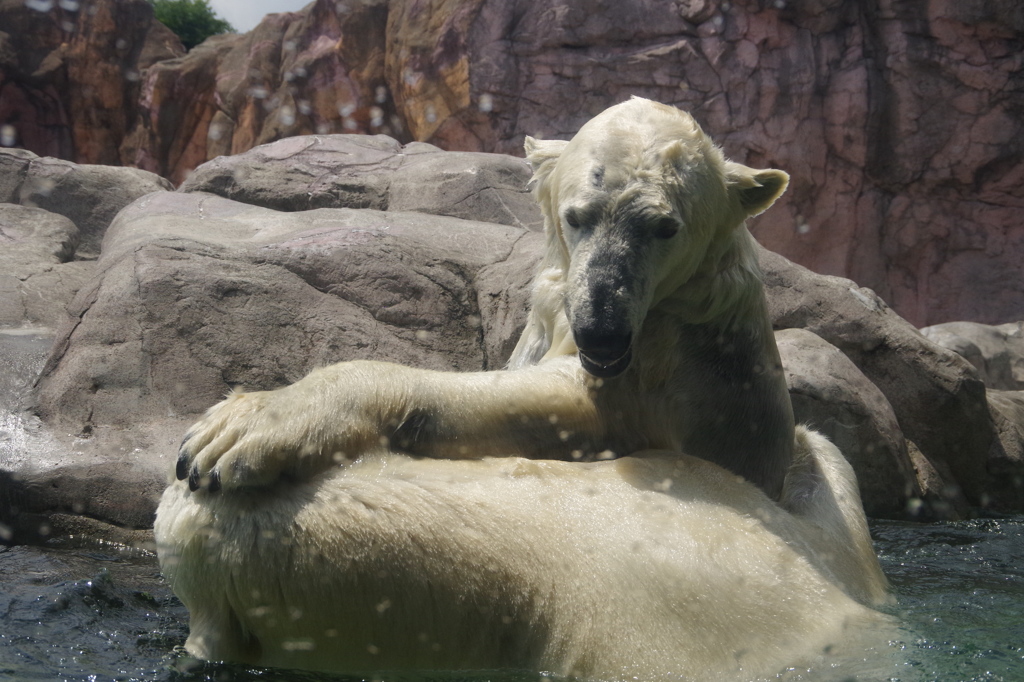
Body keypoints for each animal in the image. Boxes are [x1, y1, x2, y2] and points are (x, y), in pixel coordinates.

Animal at [155, 98, 892, 675]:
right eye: (578, 214)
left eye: (665, 226)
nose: (601, 328)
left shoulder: (665, 360)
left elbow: (562, 406)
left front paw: (237, 432)